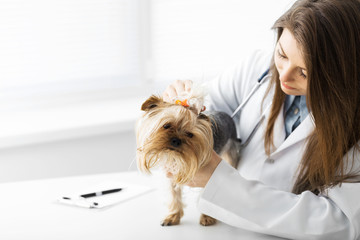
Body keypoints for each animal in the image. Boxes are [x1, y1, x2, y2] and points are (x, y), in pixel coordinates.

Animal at [136, 88, 240, 227]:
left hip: (232, 149)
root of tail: (227, 115)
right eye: (166, 126)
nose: (176, 140)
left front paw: (207, 217)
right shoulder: (170, 174)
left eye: (190, 134)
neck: (175, 157)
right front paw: (173, 216)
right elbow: (173, 194)